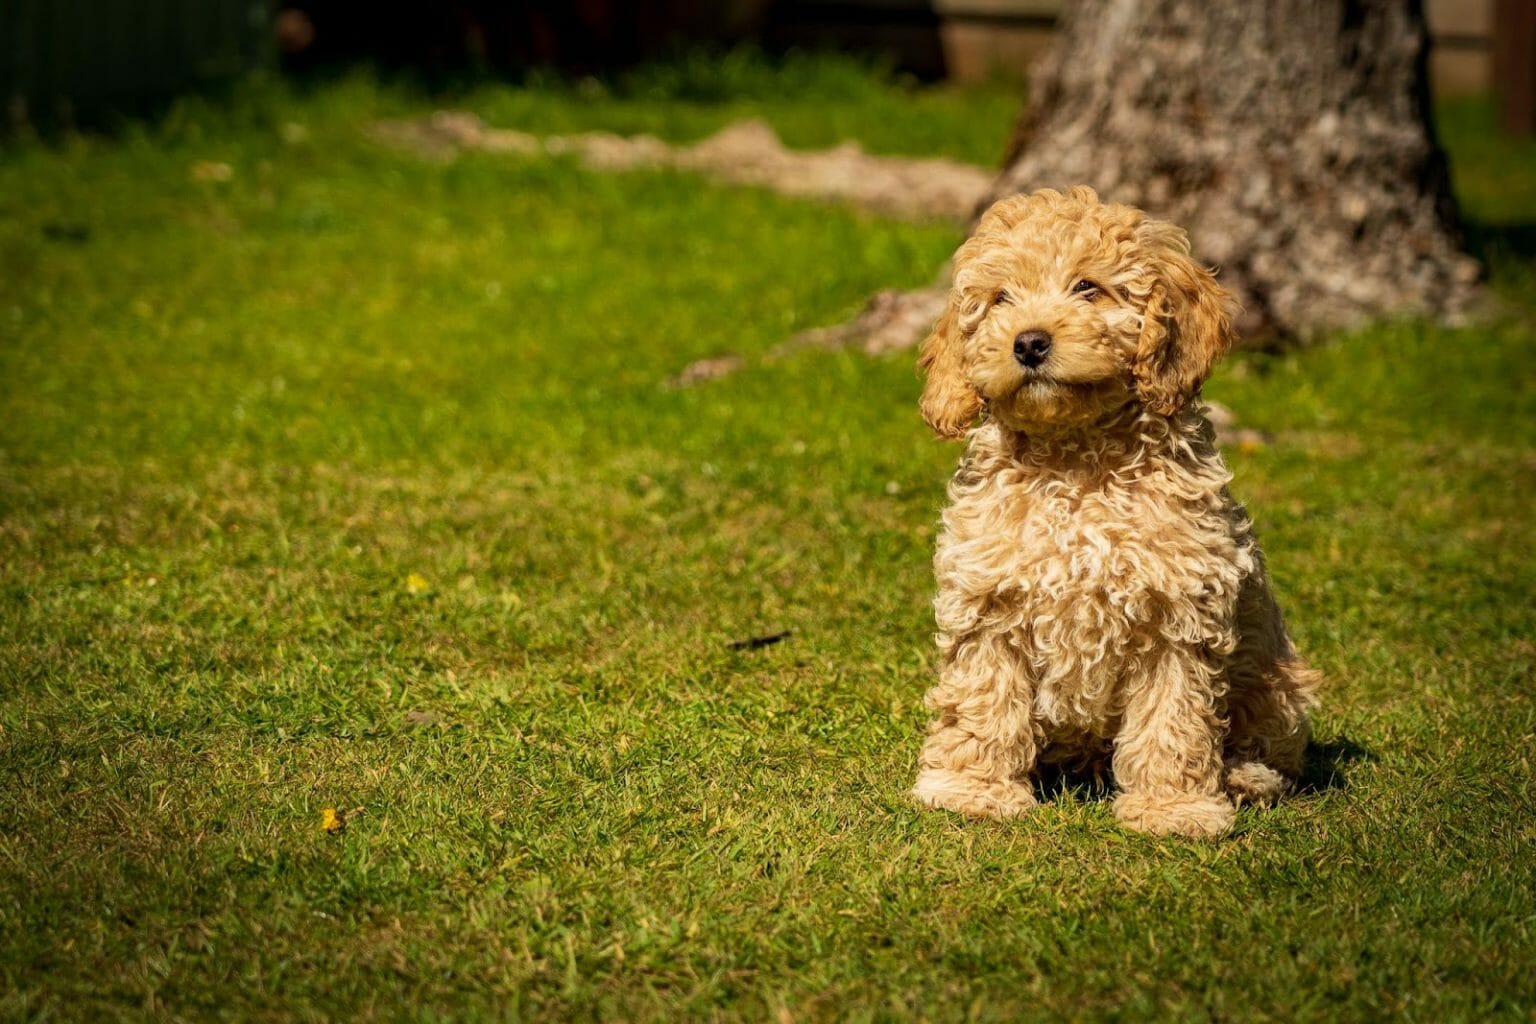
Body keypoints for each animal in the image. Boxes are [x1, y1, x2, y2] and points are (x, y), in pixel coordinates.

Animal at [909, 188, 1320, 835]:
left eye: (1088, 288)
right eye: (1000, 299)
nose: (1028, 342)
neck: (1074, 464)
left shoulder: (1178, 613)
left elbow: (1174, 719)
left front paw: (1174, 808)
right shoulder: (989, 601)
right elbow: (983, 700)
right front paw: (971, 789)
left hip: (1276, 681)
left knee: (1271, 746)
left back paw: (1244, 777)